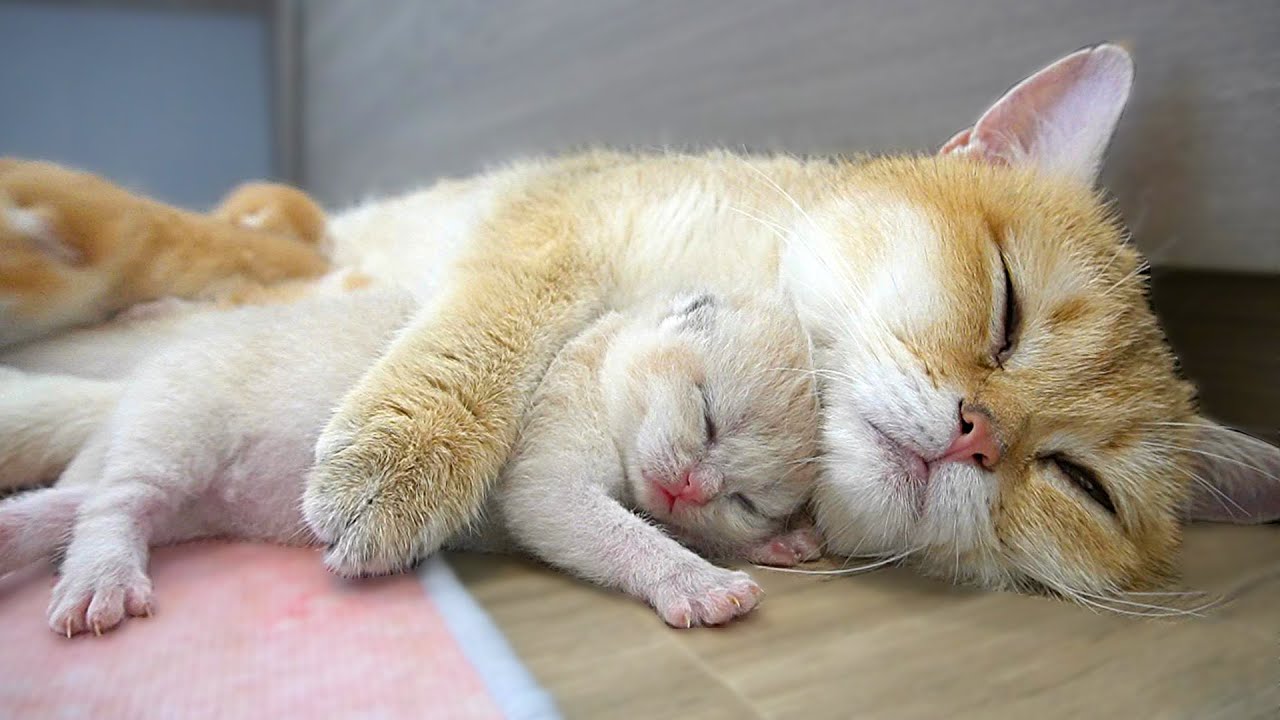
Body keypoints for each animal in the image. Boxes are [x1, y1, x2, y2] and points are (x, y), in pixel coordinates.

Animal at [0, 286, 819, 632]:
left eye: (745, 499)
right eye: (708, 416)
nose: (690, 486)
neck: (591, 350)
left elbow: (650, 520)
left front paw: (780, 544)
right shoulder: (547, 453)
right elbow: (603, 524)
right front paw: (698, 582)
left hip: (189, 494)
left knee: (84, 505)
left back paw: (26, 537)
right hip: (181, 422)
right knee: (117, 501)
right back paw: (101, 580)